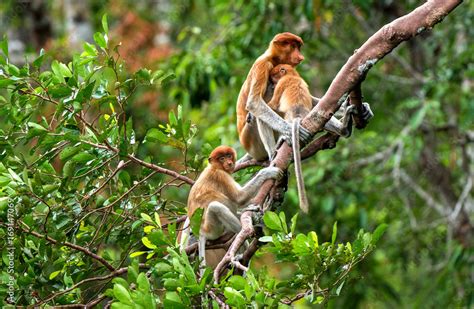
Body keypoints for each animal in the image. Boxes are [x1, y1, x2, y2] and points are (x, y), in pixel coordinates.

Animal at [237, 31, 374, 161]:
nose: (301, 57)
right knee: (255, 114)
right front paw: (289, 130)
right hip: (253, 143)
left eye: (298, 47)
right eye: (293, 46)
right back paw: (273, 152)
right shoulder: (263, 64)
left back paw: (343, 129)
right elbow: (254, 103)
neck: (274, 59)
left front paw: (363, 108)